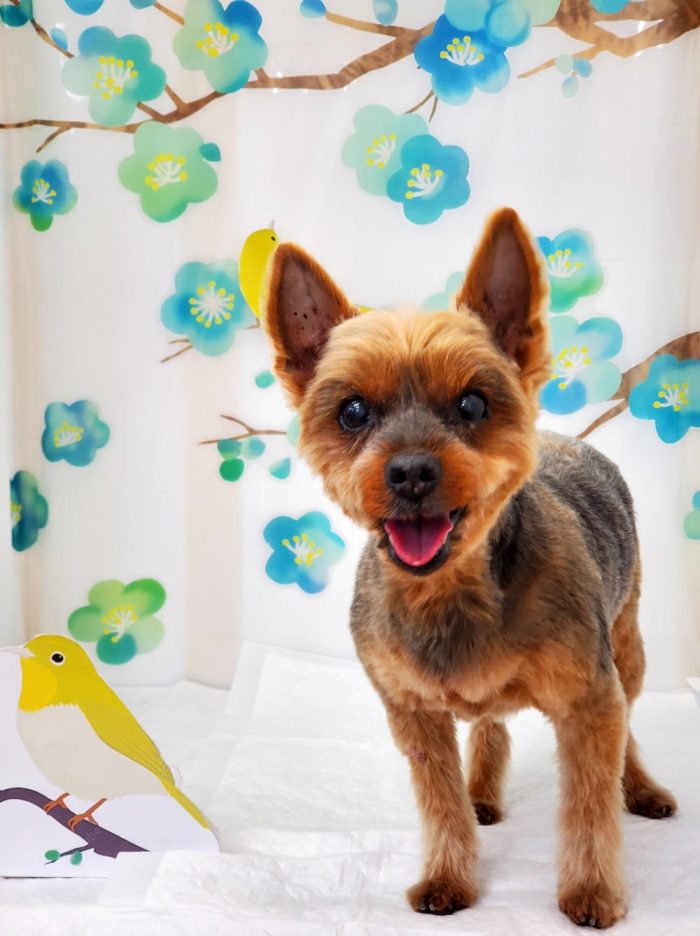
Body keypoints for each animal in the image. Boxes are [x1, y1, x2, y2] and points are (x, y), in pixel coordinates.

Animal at [259, 208, 676, 928]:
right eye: (352, 411)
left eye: (474, 405)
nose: (411, 471)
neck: (452, 590)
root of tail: (571, 439)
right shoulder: (410, 712)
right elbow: (440, 800)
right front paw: (449, 875)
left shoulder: (590, 697)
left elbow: (590, 802)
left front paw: (592, 891)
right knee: (489, 723)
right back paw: (484, 790)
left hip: (627, 638)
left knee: (628, 720)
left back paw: (642, 788)